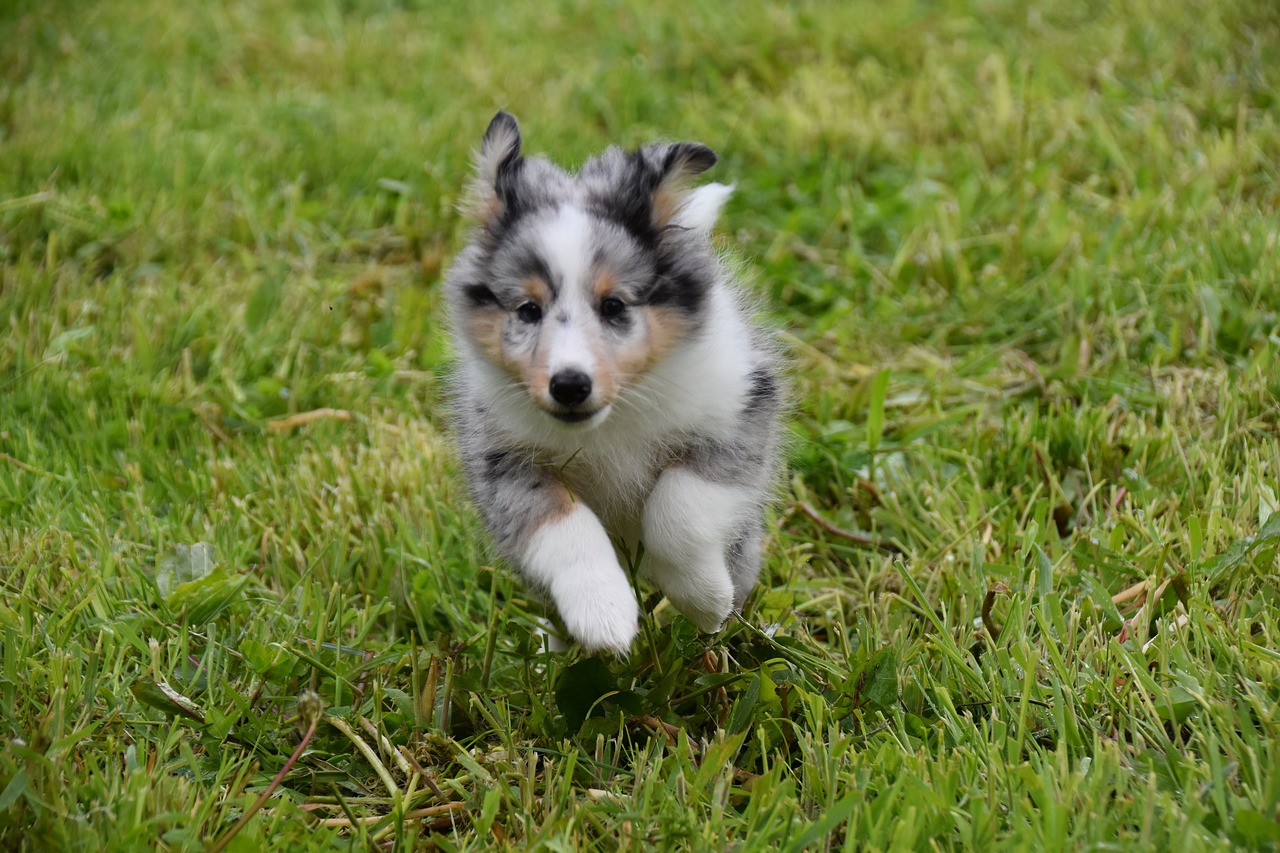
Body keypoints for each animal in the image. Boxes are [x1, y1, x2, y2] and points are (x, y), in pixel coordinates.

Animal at [445, 112, 783, 653]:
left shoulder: (736, 419)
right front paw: (602, 615)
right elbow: (565, 528)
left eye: (614, 306)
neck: (611, 421)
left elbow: (678, 511)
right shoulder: (504, 463)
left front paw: (705, 600)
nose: (569, 386)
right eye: (528, 310)